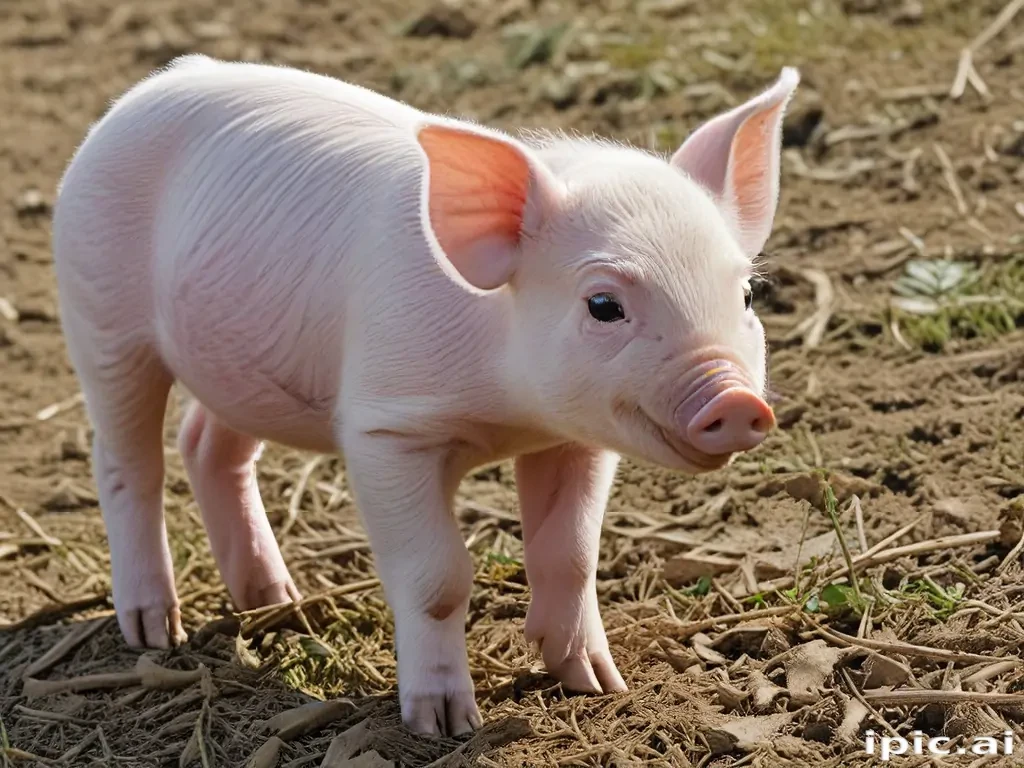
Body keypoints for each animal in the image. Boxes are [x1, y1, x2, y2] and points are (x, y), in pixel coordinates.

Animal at [52, 54, 796, 736]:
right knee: (127, 463)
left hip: (240, 357)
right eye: (604, 305)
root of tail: (153, 85)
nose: (736, 401)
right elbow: (438, 576)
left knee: (208, 445)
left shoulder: (575, 438)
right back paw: (157, 630)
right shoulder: (386, 431)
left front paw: (595, 683)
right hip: (102, 314)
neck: (510, 413)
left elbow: (572, 555)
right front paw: (444, 724)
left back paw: (278, 602)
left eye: (747, 295)